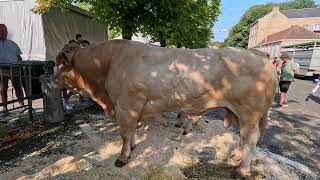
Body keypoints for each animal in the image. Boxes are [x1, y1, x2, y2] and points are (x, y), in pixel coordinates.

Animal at [53, 39, 276, 177]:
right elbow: (132, 131)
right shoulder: (132, 108)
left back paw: (241, 170)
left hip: (249, 112)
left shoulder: (126, 105)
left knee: (251, 138)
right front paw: (132, 147)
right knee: (243, 138)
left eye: (60, 64)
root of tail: (260, 55)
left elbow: (125, 132)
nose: (51, 80)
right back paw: (236, 156)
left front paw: (123, 157)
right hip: (239, 112)